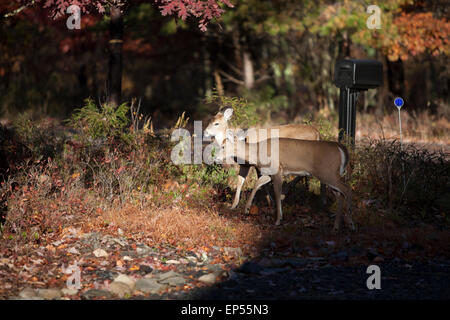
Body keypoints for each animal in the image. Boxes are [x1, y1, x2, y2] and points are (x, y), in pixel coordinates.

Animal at [220, 129, 354, 231]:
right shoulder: (269, 173)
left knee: (347, 189)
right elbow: (257, 184)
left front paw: (278, 220)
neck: (257, 152)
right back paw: (336, 226)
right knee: (340, 195)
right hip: (329, 175)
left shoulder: (277, 170)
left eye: (223, 146)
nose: (215, 156)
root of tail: (341, 148)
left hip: (327, 173)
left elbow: (277, 193)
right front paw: (246, 209)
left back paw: (350, 223)